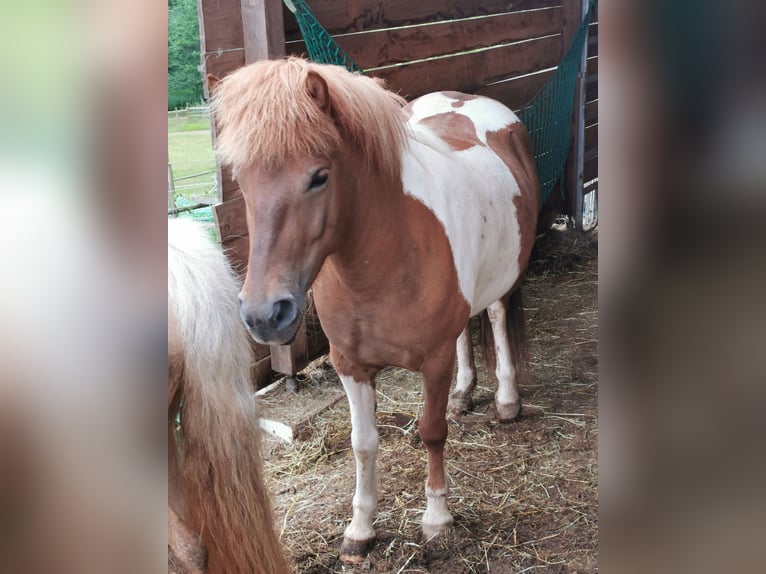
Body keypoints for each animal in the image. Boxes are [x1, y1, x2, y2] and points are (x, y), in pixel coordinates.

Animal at [213, 57, 544, 564]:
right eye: (242, 180)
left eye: (319, 176)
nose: (265, 315)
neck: (385, 258)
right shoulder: (349, 365)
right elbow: (364, 444)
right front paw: (360, 529)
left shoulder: (434, 361)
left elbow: (432, 431)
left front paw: (437, 520)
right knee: (468, 327)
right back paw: (464, 393)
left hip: (508, 277)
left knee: (495, 316)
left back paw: (507, 400)